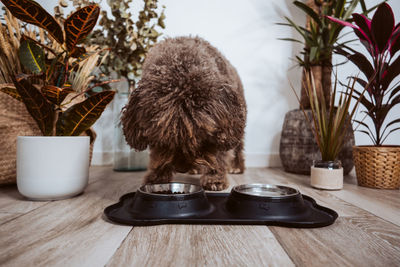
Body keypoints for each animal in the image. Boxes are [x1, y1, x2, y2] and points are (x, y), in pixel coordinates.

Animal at [121, 36, 247, 191]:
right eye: (164, 139)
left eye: (200, 137)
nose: (182, 169)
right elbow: (158, 157)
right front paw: (157, 178)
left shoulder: (222, 128)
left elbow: (218, 156)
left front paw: (215, 179)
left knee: (238, 147)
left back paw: (236, 167)